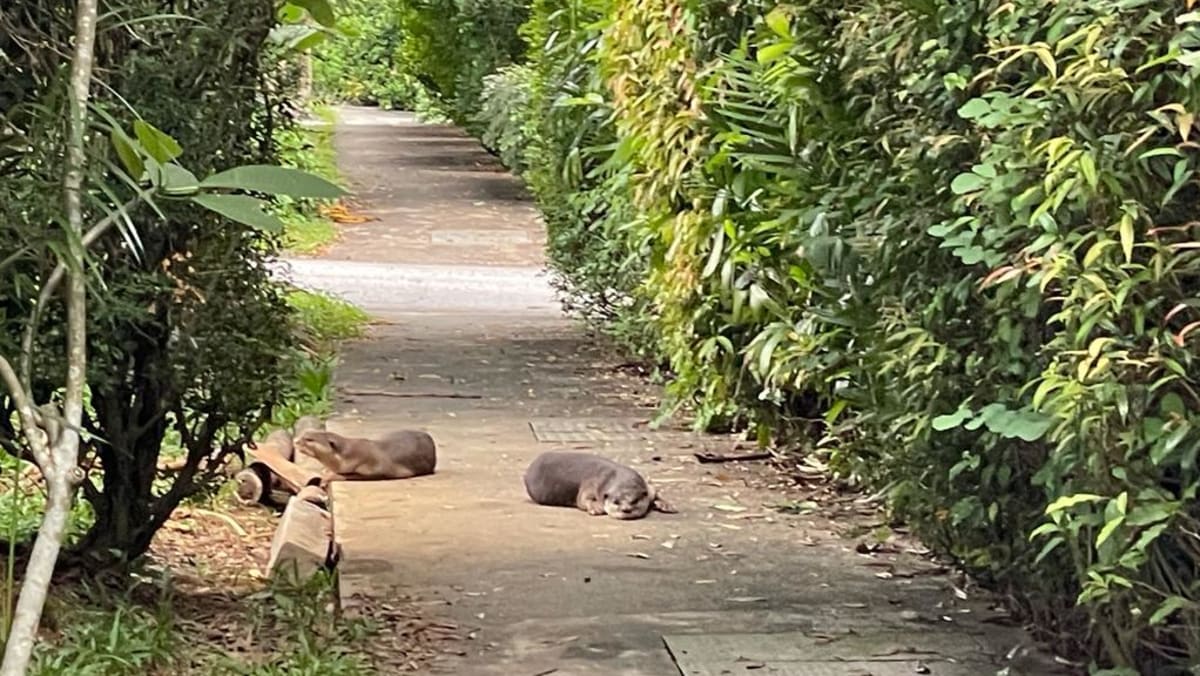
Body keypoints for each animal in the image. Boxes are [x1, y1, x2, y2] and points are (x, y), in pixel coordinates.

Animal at [294, 432, 436, 485]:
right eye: (305, 433)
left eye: (309, 439)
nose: (295, 441)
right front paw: (326, 471)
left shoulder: (374, 467)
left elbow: (350, 475)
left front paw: (328, 477)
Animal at [523, 451, 681, 521]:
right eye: (616, 502)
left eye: (635, 500)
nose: (626, 509)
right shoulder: (591, 484)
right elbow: (583, 499)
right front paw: (597, 507)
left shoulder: (648, 488)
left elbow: (656, 492)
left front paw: (666, 504)